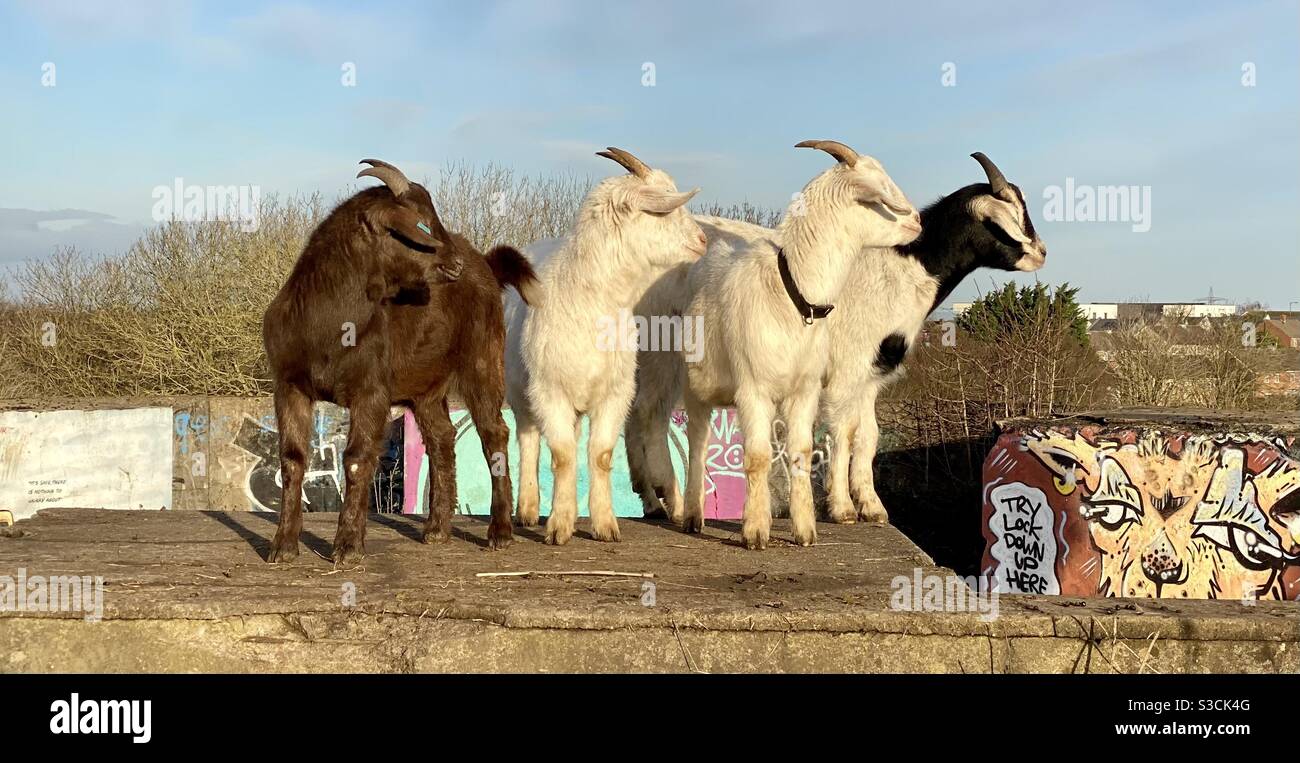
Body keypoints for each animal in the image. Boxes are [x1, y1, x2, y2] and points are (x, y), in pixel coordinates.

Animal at [261, 157, 535, 564]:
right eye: (419, 224)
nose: (453, 262)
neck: (328, 322)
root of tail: (484, 265)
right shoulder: (289, 385)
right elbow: (292, 458)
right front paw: (282, 546)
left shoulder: (370, 390)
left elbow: (357, 458)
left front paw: (348, 546)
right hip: (426, 389)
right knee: (441, 438)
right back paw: (436, 529)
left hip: (483, 362)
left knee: (494, 433)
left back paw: (500, 532)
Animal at [504, 147, 707, 543]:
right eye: (664, 207)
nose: (703, 239)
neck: (590, 299)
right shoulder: (550, 391)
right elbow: (562, 455)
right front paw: (559, 526)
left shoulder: (615, 393)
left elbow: (598, 455)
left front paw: (604, 524)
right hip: (522, 393)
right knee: (529, 442)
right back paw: (528, 509)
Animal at [631, 141, 925, 548]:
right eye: (878, 194)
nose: (917, 221)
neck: (790, 291)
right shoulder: (753, 389)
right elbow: (756, 456)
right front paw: (756, 530)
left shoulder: (804, 390)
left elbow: (800, 452)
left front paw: (804, 531)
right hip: (672, 370)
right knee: (678, 431)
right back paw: (681, 508)